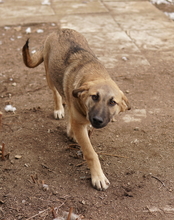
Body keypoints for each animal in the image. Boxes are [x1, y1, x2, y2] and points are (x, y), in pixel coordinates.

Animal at [22, 27, 130, 191]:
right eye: (94, 97)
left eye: (112, 102)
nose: (97, 120)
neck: (94, 73)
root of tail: (60, 30)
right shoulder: (80, 124)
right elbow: (91, 153)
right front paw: (98, 177)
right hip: (49, 76)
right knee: (56, 93)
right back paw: (59, 109)